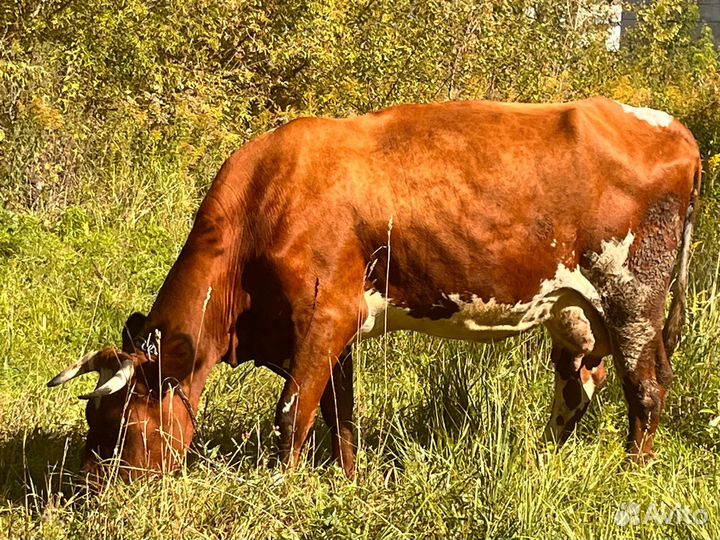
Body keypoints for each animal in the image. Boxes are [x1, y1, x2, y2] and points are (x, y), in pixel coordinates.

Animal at [48, 97, 701, 480]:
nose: (91, 492)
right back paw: (541, 460)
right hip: (576, 311)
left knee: (646, 389)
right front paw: (346, 481)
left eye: (122, 427)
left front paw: (282, 490)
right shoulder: (333, 325)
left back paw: (631, 476)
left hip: (634, 297)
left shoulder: (323, 314)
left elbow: (293, 413)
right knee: (578, 387)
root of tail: (672, 129)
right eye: (91, 419)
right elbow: (340, 414)